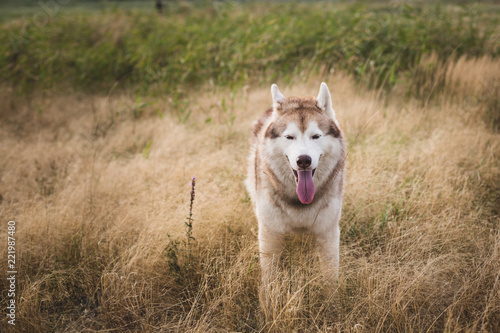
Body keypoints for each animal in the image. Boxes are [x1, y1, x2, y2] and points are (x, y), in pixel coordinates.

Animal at [245, 81, 346, 278]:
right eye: (289, 137)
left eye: (316, 136)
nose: (304, 160)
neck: (300, 202)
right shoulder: (270, 235)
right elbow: (269, 278)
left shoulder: (327, 232)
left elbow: (331, 278)